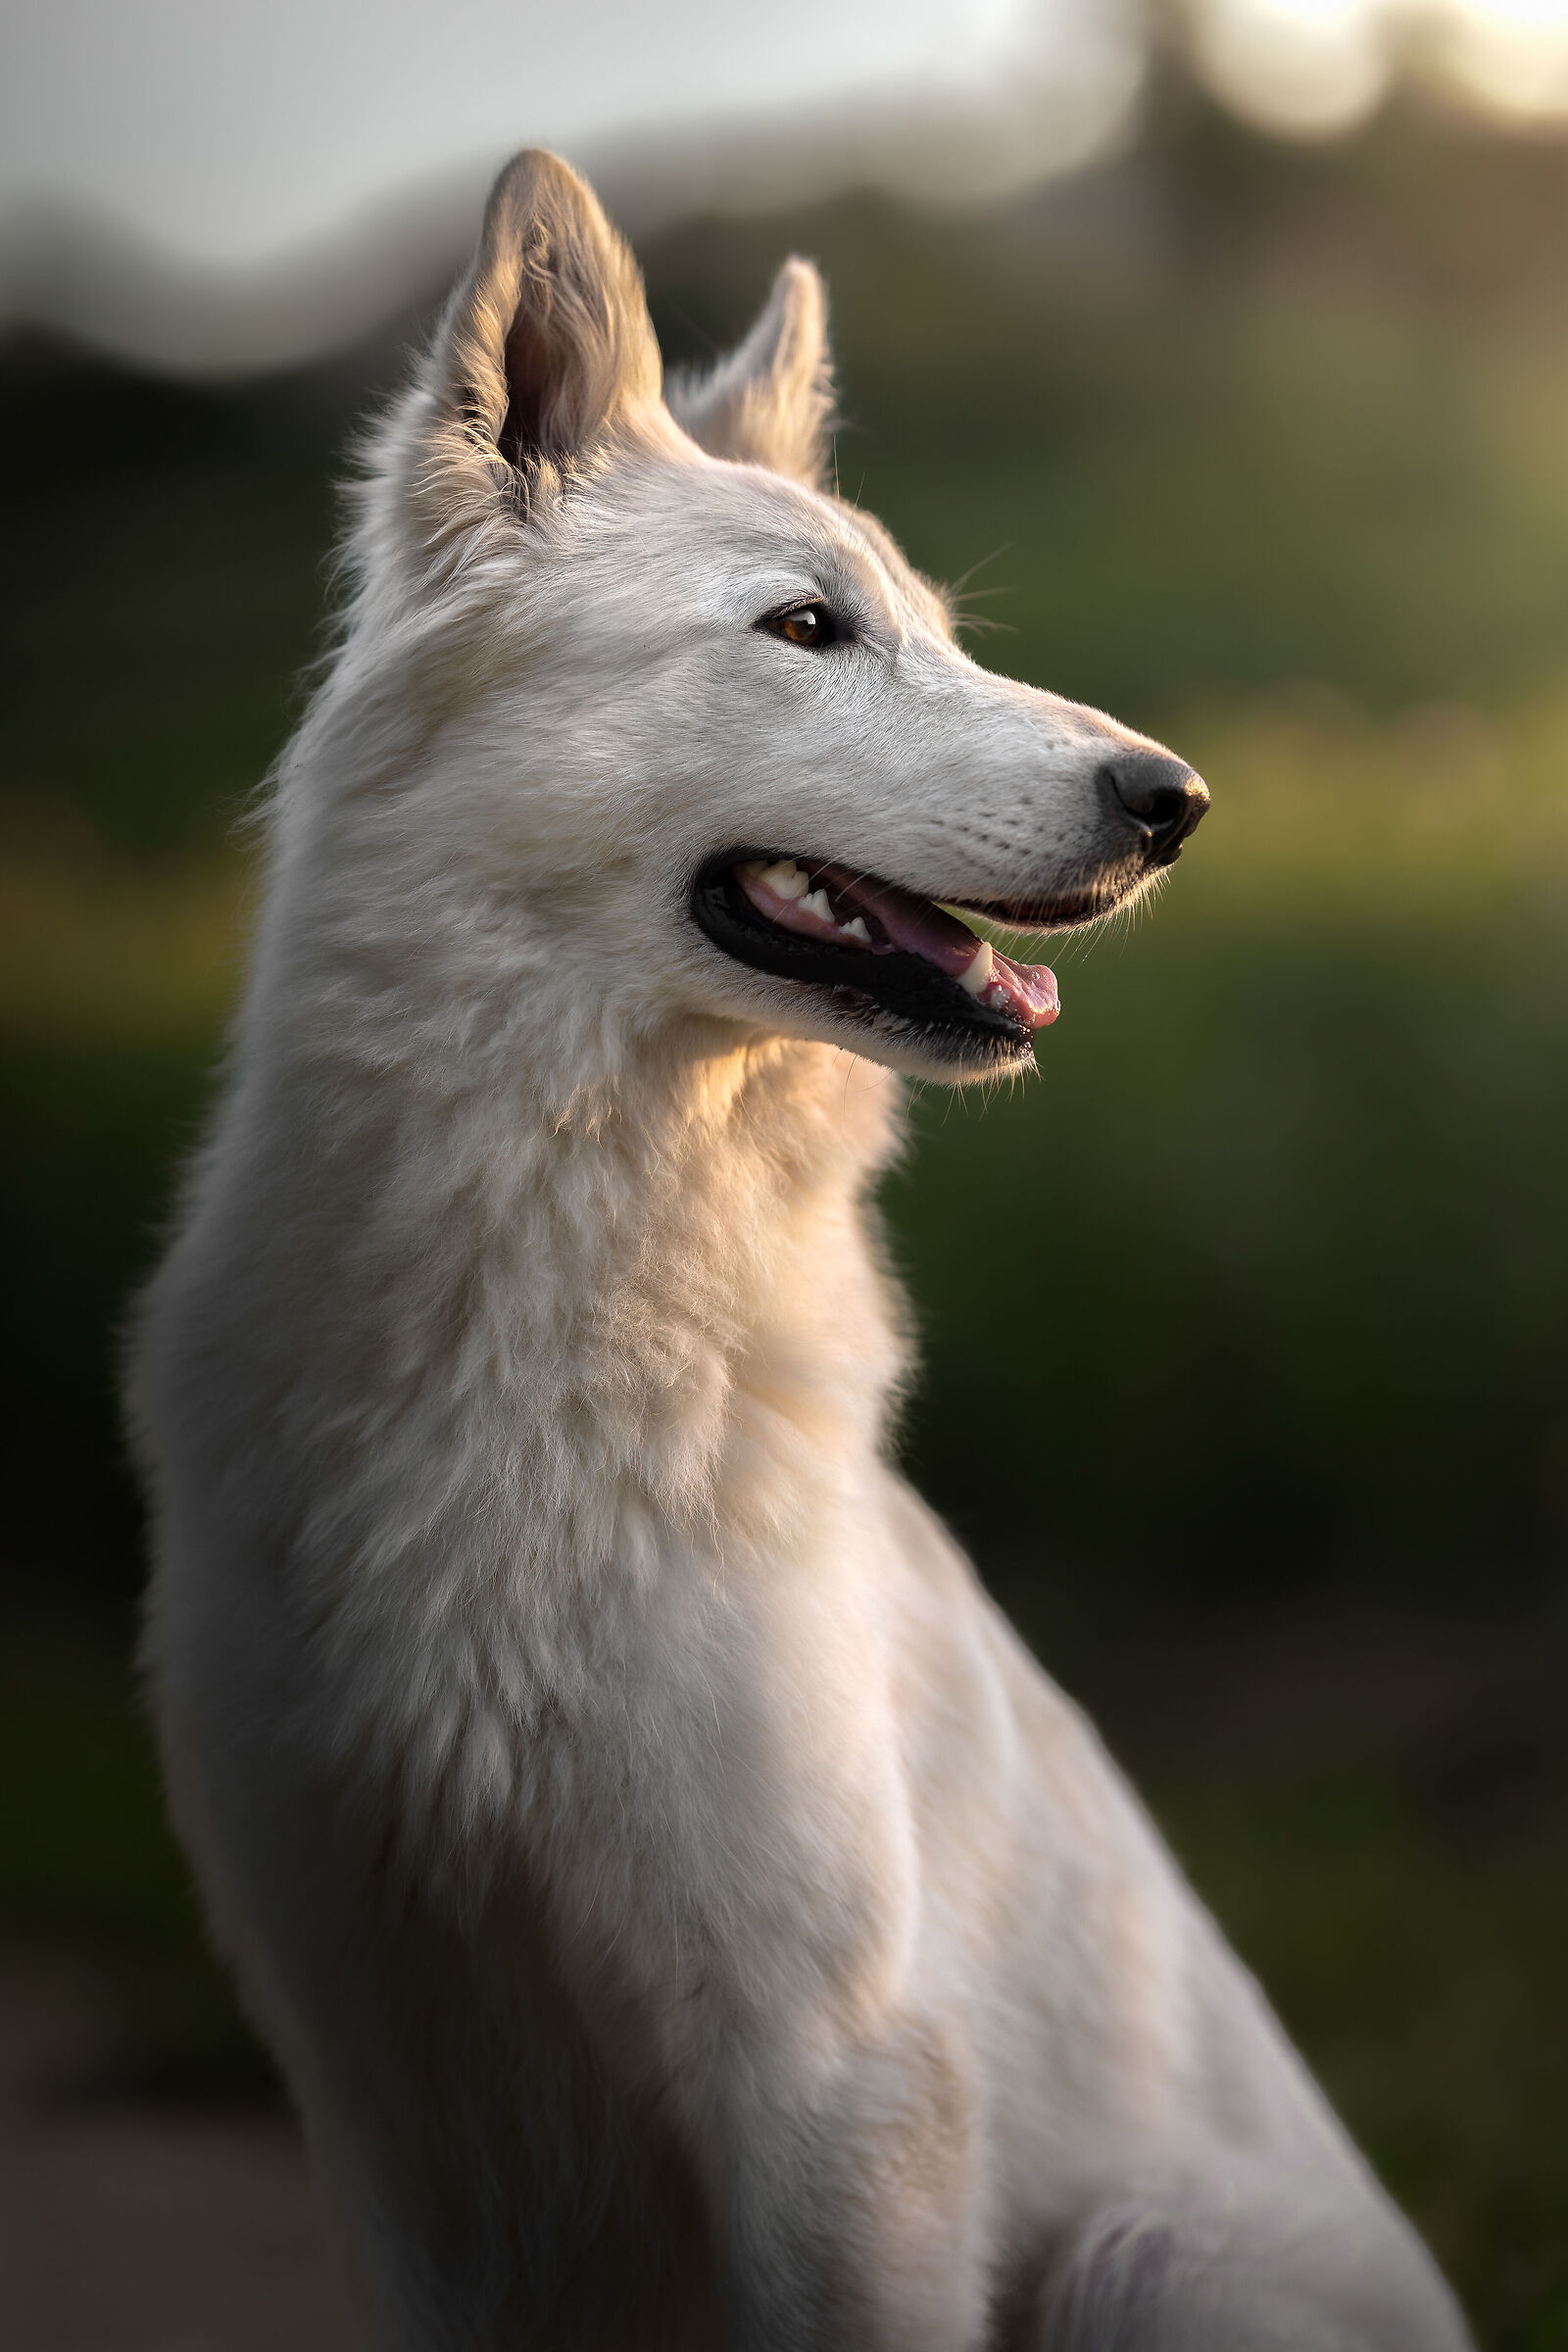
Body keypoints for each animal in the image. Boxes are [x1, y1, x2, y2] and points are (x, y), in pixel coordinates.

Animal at [127, 151, 1471, 2350]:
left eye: (928, 632)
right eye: (806, 630)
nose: (1174, 799)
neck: (558, 1279)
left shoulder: (836, 2083)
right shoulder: (398, 2098)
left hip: (1140, 2260)